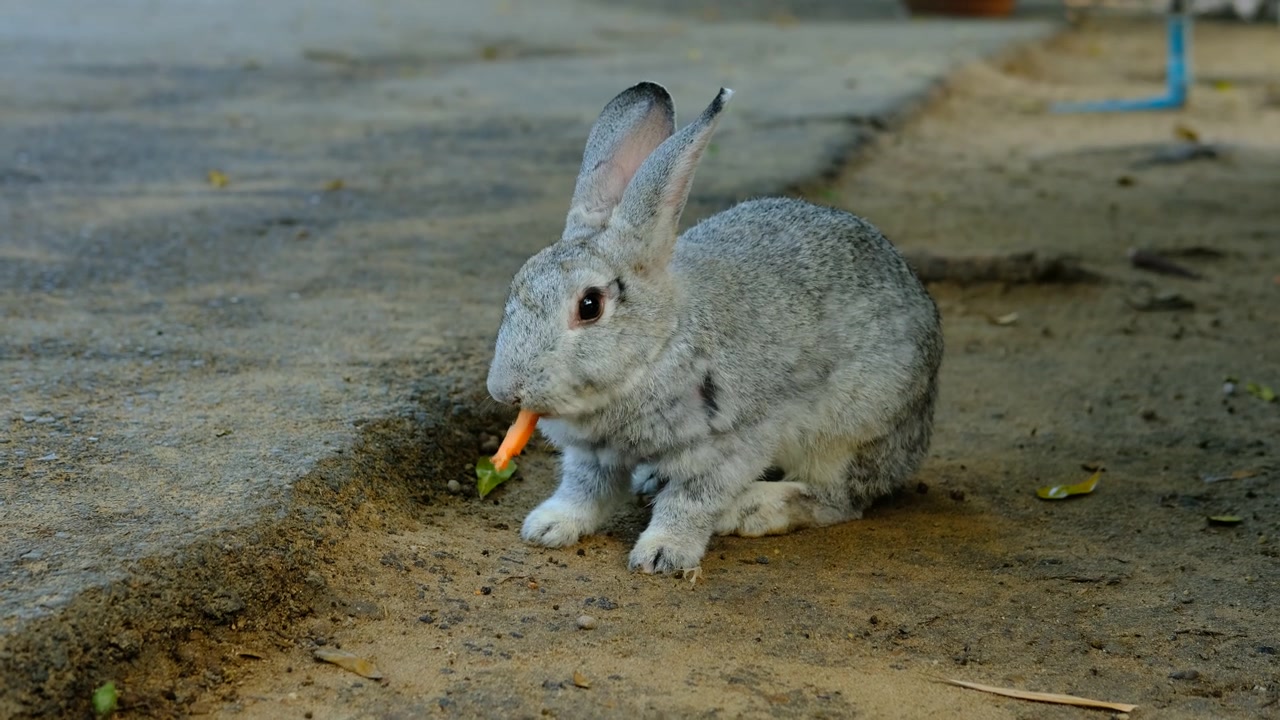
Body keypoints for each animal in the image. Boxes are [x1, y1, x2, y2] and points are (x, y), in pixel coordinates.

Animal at [486, 81, 942, 571]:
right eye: (517, 283)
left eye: (589, 306)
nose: (504, 391)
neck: (660, 345)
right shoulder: (593, 455)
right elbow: (584, 490)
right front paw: (548, 527)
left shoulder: (724, 445)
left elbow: (690, 501)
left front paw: (662, 555)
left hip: (848, 431)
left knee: (838, 499)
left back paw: (750, 509)